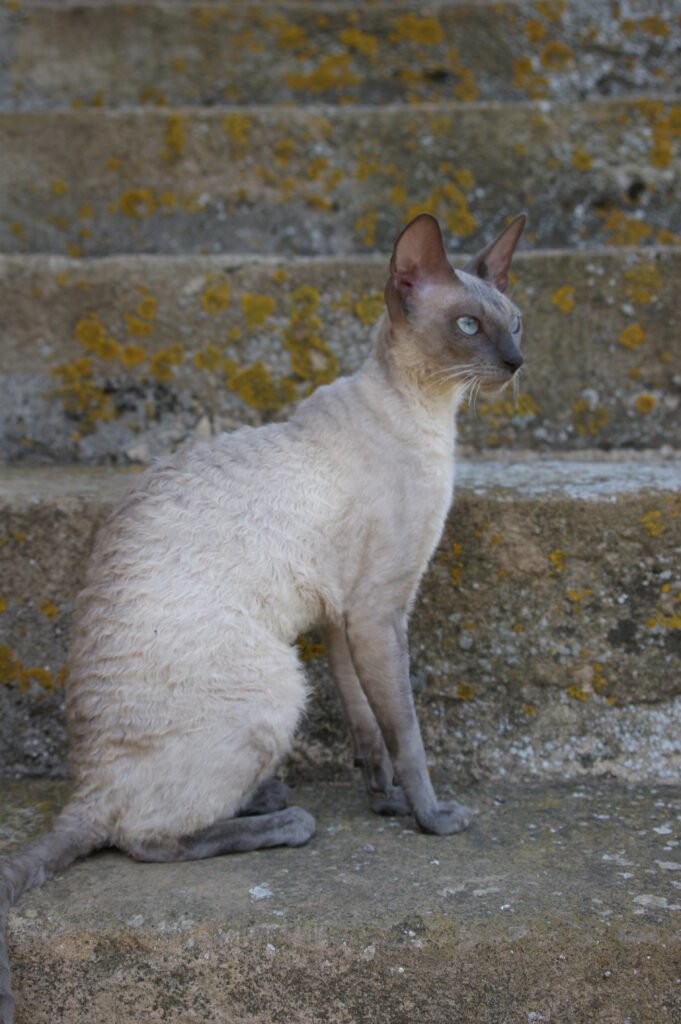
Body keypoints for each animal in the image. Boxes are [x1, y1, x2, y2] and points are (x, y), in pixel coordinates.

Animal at [0, 209, 524, 1024]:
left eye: (516, 322)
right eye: (469, 325)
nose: (516, 362)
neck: (427, 419)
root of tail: (83, 786)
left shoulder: (342, 619)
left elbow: (367, 728)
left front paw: (382, 803)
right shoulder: (377, 613)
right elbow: (407, 733)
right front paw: (432, 819)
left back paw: (270, 797)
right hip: (276, 685)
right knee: (141, 839)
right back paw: (284, 822)